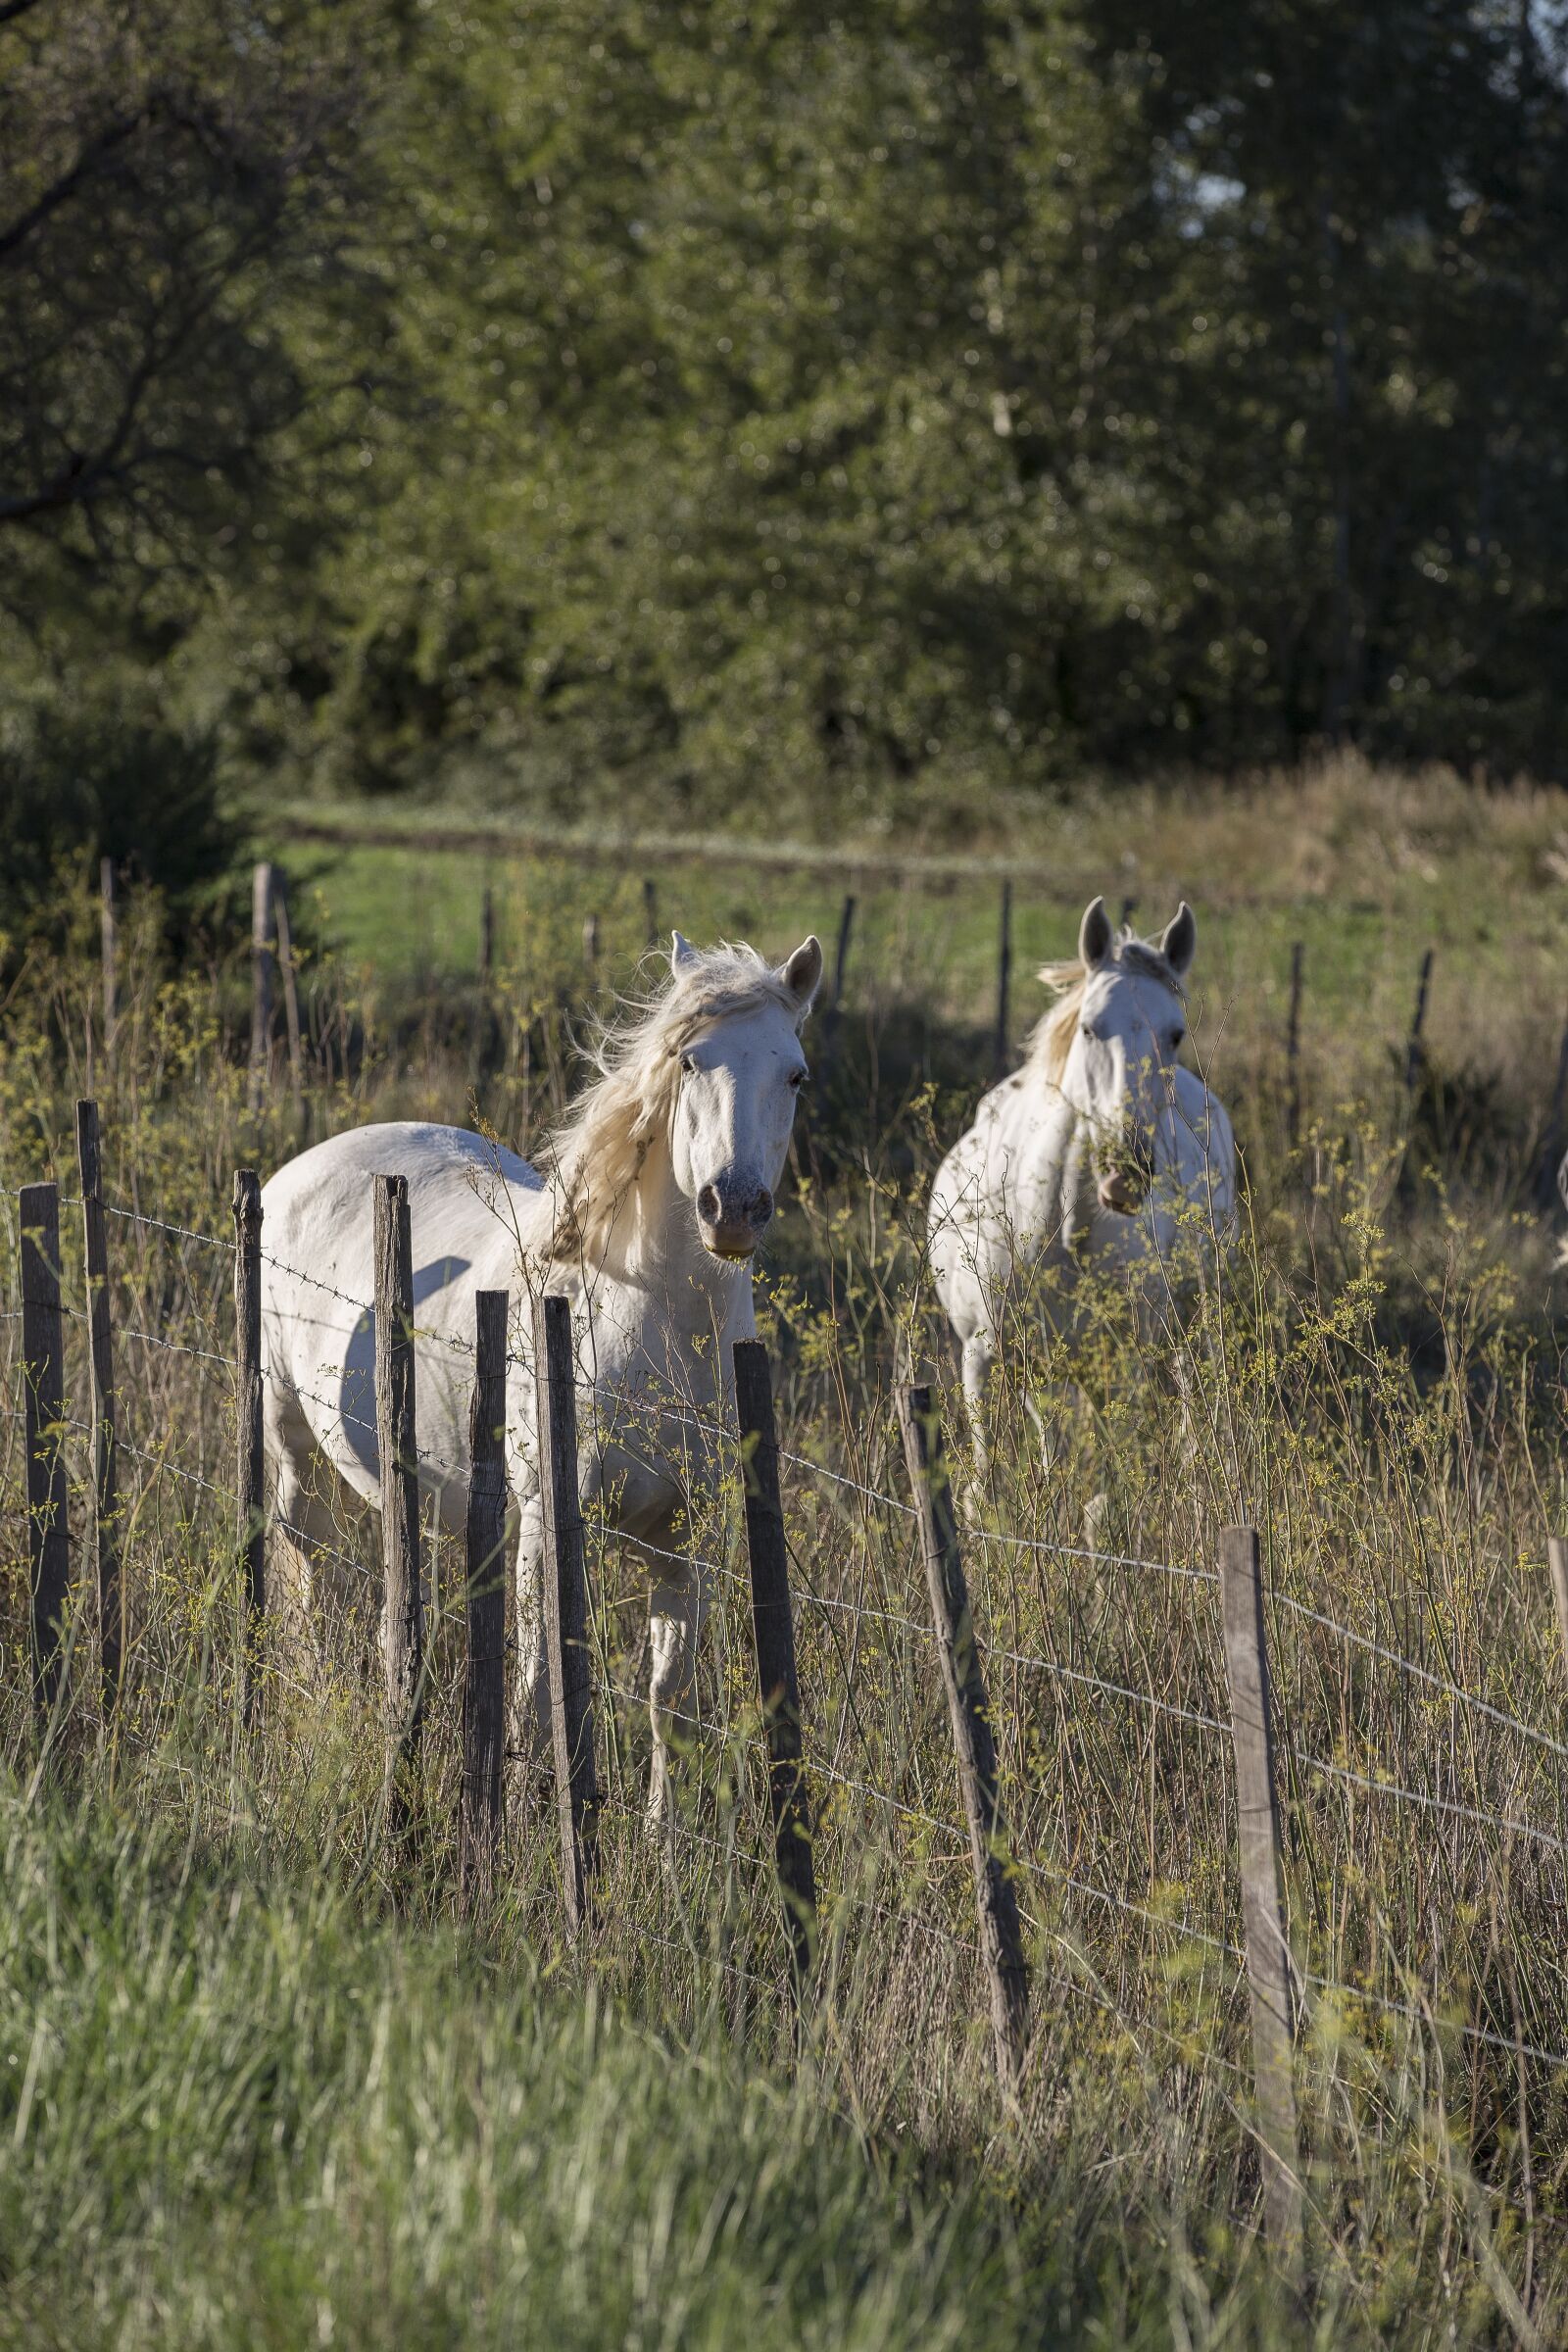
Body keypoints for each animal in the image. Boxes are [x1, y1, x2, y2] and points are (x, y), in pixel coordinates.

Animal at [258, 929, 822, 1825]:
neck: (648, 1325)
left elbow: (668, 1699)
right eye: (690, 1061)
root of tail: (303, 1167)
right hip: (292, 1440)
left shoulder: (688, 1538)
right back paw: (314, 1706)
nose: (731, 1208)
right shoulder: (554, 1523)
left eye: (795, 1074)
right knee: (305, 1565)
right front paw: (525, 1816)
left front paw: (663, 1837)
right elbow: (541, 1683)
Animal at [927, 895, 1236, 1463]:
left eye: (1175, 1033)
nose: (1126, 1172)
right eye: (1090, 1028)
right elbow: (991, 1474)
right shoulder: (984, 1362)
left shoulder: (1121, 1369)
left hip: (1193, 1320)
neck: (1058, 1230)